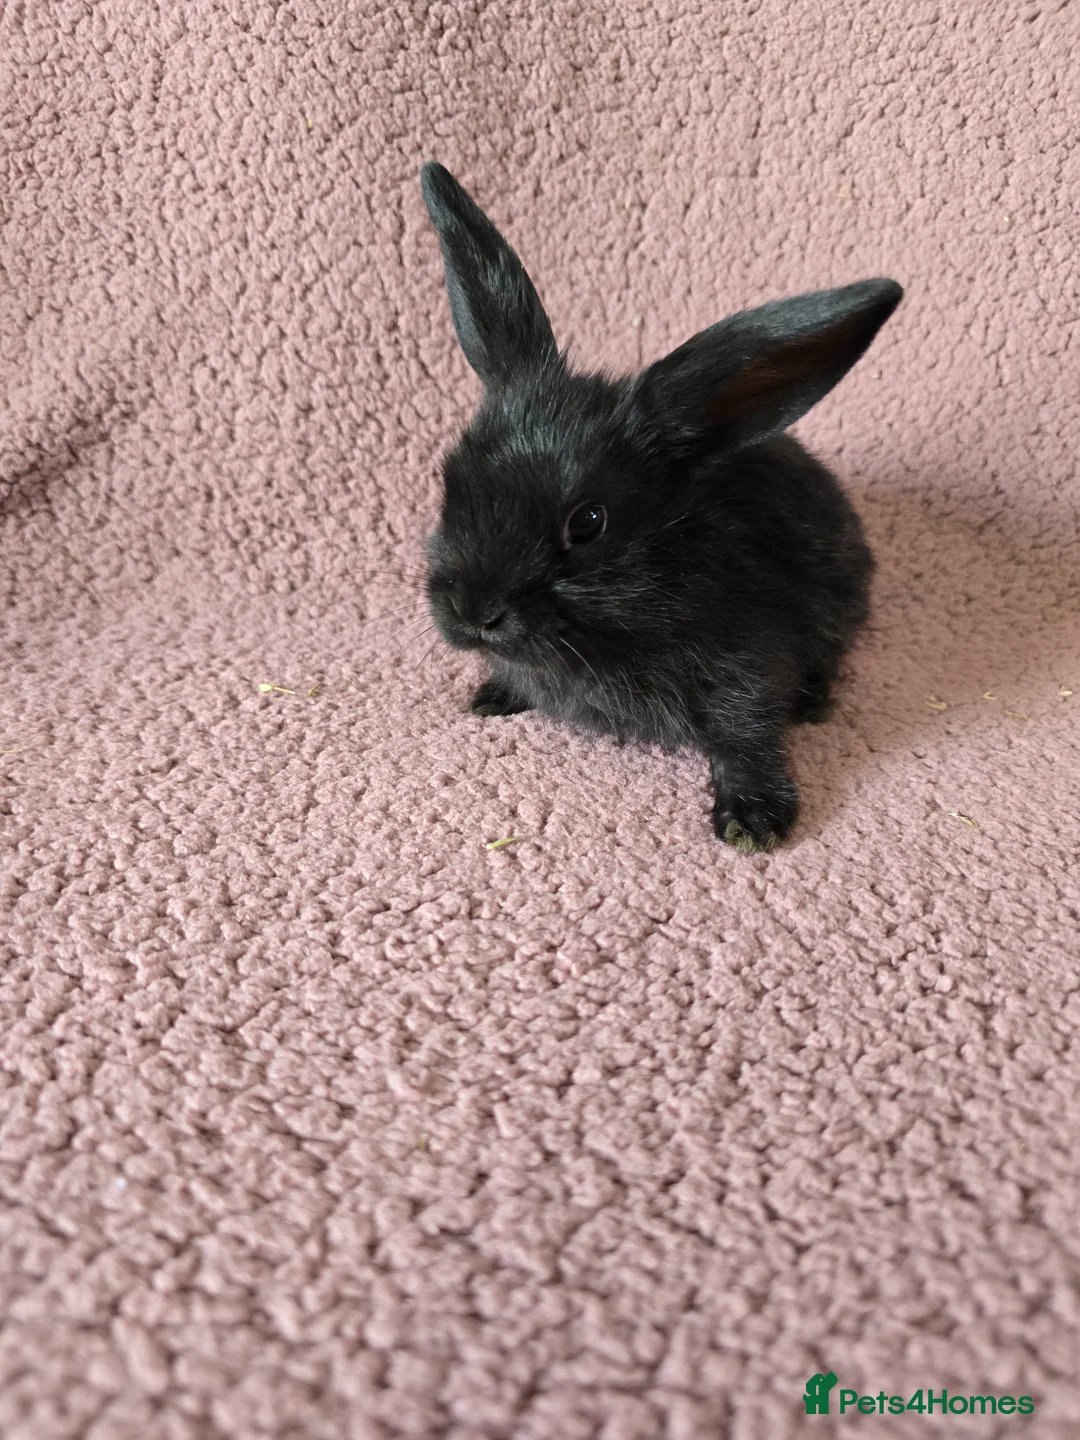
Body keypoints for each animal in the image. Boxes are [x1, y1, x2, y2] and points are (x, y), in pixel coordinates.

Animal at [418, 161, 902, 852]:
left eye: (588, 523)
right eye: (451, 482)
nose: (472, 613)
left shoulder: (748, 671)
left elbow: (746, 736)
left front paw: (755, 820)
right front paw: (492, 695)